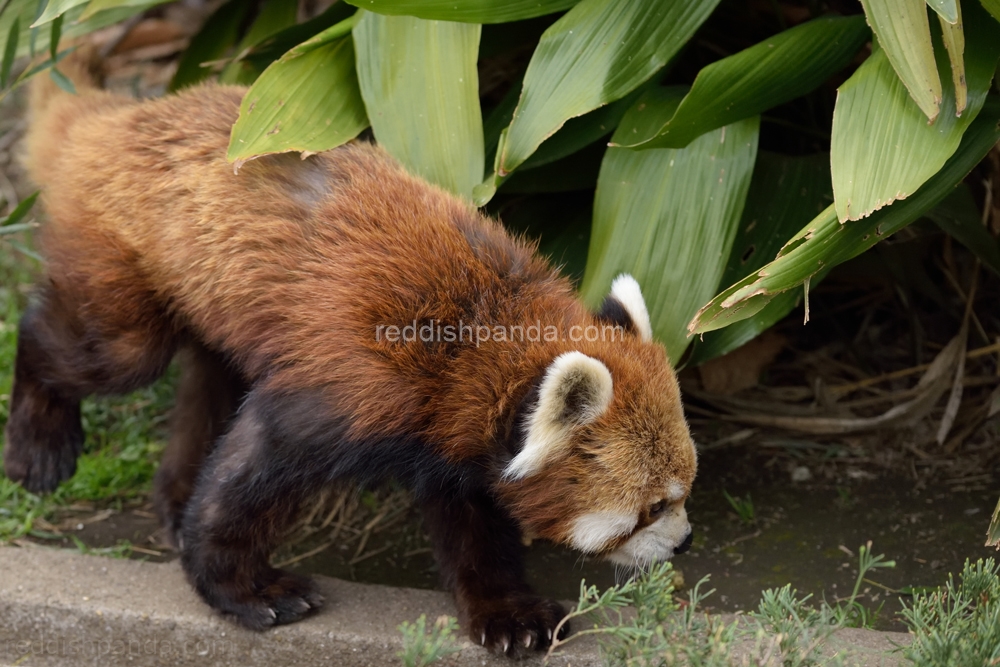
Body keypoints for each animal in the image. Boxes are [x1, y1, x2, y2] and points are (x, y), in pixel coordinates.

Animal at [1, 47, 696, 656]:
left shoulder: (451, 432)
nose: (686, 542)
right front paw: (246, 589)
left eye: (686, 490)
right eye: (652, 507)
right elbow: (255, 472)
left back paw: (175, 496)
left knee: (210, 378)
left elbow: (472, 521)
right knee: (94, 349)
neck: (476, 336)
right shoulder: (354, 381)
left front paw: (509, 614)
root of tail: (120, 117)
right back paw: (39, 444)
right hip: (127, 267)